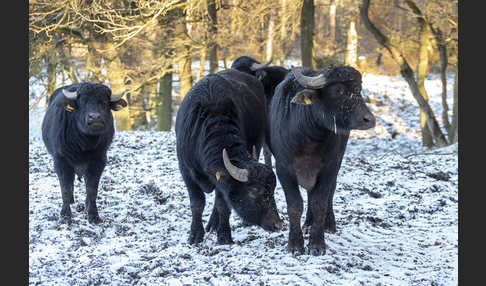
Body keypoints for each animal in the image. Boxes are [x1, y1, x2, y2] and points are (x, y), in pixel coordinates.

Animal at [41, 82, 127, 223]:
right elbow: (65, 188)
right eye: (83, 102)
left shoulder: (99, 160)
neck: (83, 144)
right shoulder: (60, 160)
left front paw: (93, 215)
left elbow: (92, 189)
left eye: (104, 102)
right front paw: (65, 215)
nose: (95, 117)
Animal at [176, 68, 282, 245]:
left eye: (272, 190)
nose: (278, 224)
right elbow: (197, 203)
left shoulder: (222, 178)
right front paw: (195, 235)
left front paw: (224, 235)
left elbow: (222, 205)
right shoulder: (186, 171)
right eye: (255, 191)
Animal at [270, 65, 376, 255]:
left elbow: (320, 202)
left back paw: (327, 224)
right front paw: (295, 244)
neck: (309, 139)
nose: (369, 120)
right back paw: (307, 224)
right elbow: (295, 205)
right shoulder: (283, 169)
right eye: (338, 90)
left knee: (328, 193)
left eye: (359, 90)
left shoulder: (329, 168)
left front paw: (317, 243)